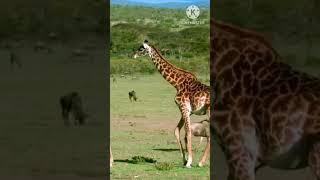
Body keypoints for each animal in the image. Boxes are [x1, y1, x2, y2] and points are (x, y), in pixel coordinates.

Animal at [132, 39, 210, 167]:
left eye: (141, 48)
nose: (133, 55)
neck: (176, 83)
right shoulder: (187, 110)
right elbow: (177, 131)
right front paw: (184, 160)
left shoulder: (184, 107)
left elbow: (188, 131)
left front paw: (189, 162)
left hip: (209, 110)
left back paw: (200, 162)